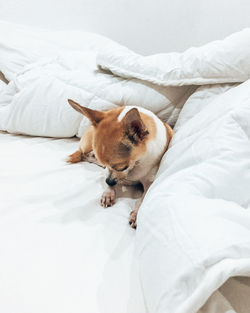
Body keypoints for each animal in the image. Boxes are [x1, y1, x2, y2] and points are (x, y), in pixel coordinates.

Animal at [66, 99, 174, 227]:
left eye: (122, 167)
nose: (109, 181)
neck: (136, 164)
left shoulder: (149, 182)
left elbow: (144, 197)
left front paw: (136, 214)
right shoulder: (107, 172)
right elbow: (106, 176)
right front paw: (108, 193)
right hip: (87, 144)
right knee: (84, 154)